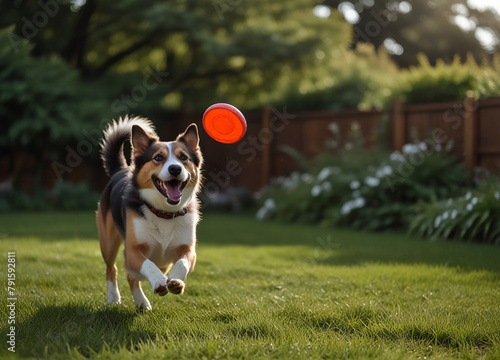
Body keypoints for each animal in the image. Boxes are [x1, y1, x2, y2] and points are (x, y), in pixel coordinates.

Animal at [96, 116, 202, 310]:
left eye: (183, 157)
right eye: (158, 158)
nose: (175, 169)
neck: (164, 212)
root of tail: (120, 170)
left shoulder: (188, 249)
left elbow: (183, 262)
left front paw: (175, 280)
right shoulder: (132, 251)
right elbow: (148, 264)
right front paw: (159, 281)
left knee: (132, 275)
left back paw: (141, 301)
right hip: (108, 242)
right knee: (113, 269)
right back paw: (114, 297)